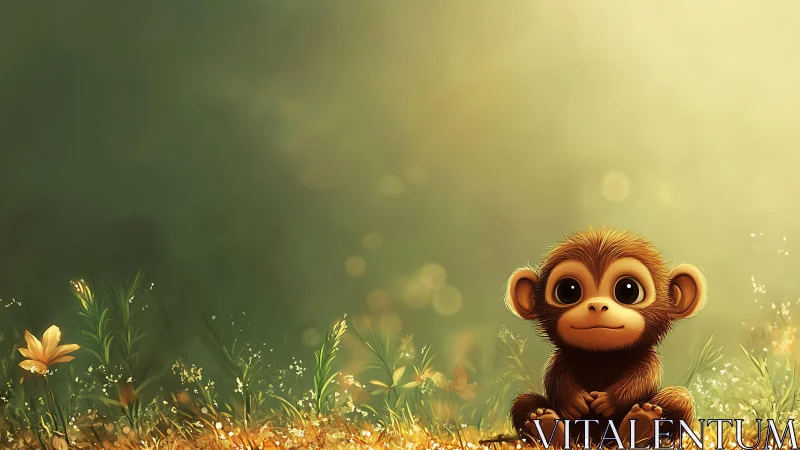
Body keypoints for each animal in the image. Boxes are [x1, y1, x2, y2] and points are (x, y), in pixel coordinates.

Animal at [505, 227, 706, 448]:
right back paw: (547, 424)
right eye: (568, 290)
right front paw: (573, 400)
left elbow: (644, 377)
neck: (602, 356)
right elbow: (555, 376)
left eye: (628, 290)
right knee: (523, 402)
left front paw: (609, 401)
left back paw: (641, 422)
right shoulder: (561, 358)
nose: (597, 305)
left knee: (679, 398)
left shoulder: (646, 357)